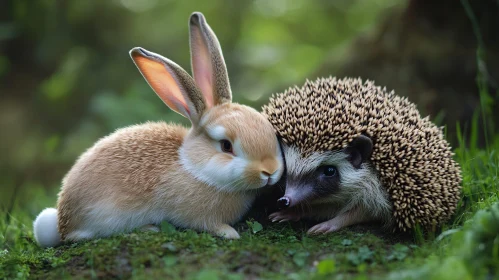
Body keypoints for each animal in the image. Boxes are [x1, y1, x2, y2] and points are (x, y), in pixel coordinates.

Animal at [33, 12, 286, 247]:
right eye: (226, 145)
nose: (270, 171)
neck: (193, 167)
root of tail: (62, 222)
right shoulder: (196, 214)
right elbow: (209, 224)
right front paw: (230, 233)